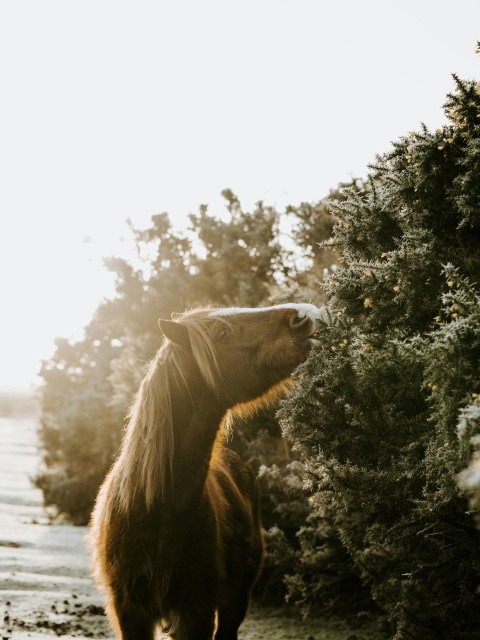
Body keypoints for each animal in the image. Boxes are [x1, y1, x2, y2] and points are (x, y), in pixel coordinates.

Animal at [88, 303, 323, 640]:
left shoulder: (195, 611)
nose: (303, 314)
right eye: (222, 333)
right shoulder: (131, 612)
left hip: (235, 600)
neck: (154, 506)